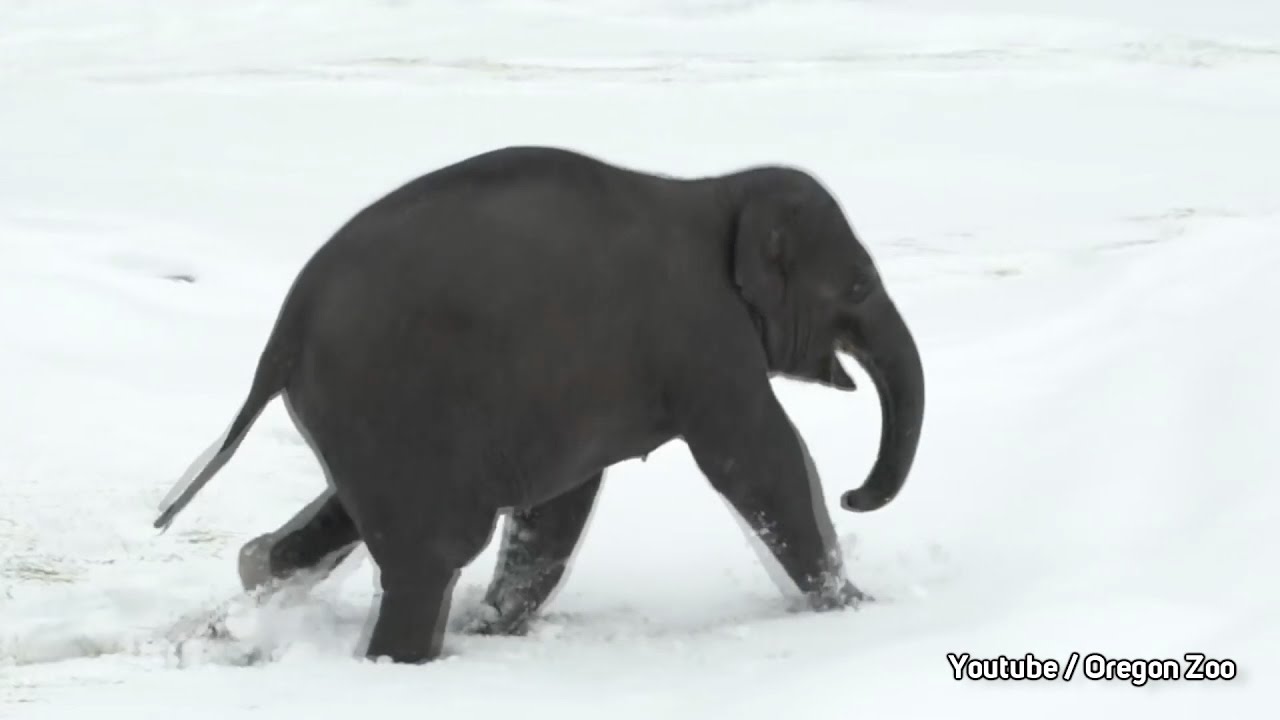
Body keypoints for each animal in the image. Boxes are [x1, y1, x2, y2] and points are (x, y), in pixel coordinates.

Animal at [153, 145, 926, 664]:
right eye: (858, 288)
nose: (855, 496)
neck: (719, 192)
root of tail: (281, 338)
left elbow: (558, 507)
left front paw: (494, 626)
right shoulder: (705, 339)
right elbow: (757, 460)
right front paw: (854, 608)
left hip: (360, 416)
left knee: (353, 516)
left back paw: (260, 573)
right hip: (384, 405)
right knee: (431, 555)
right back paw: (398, 663)